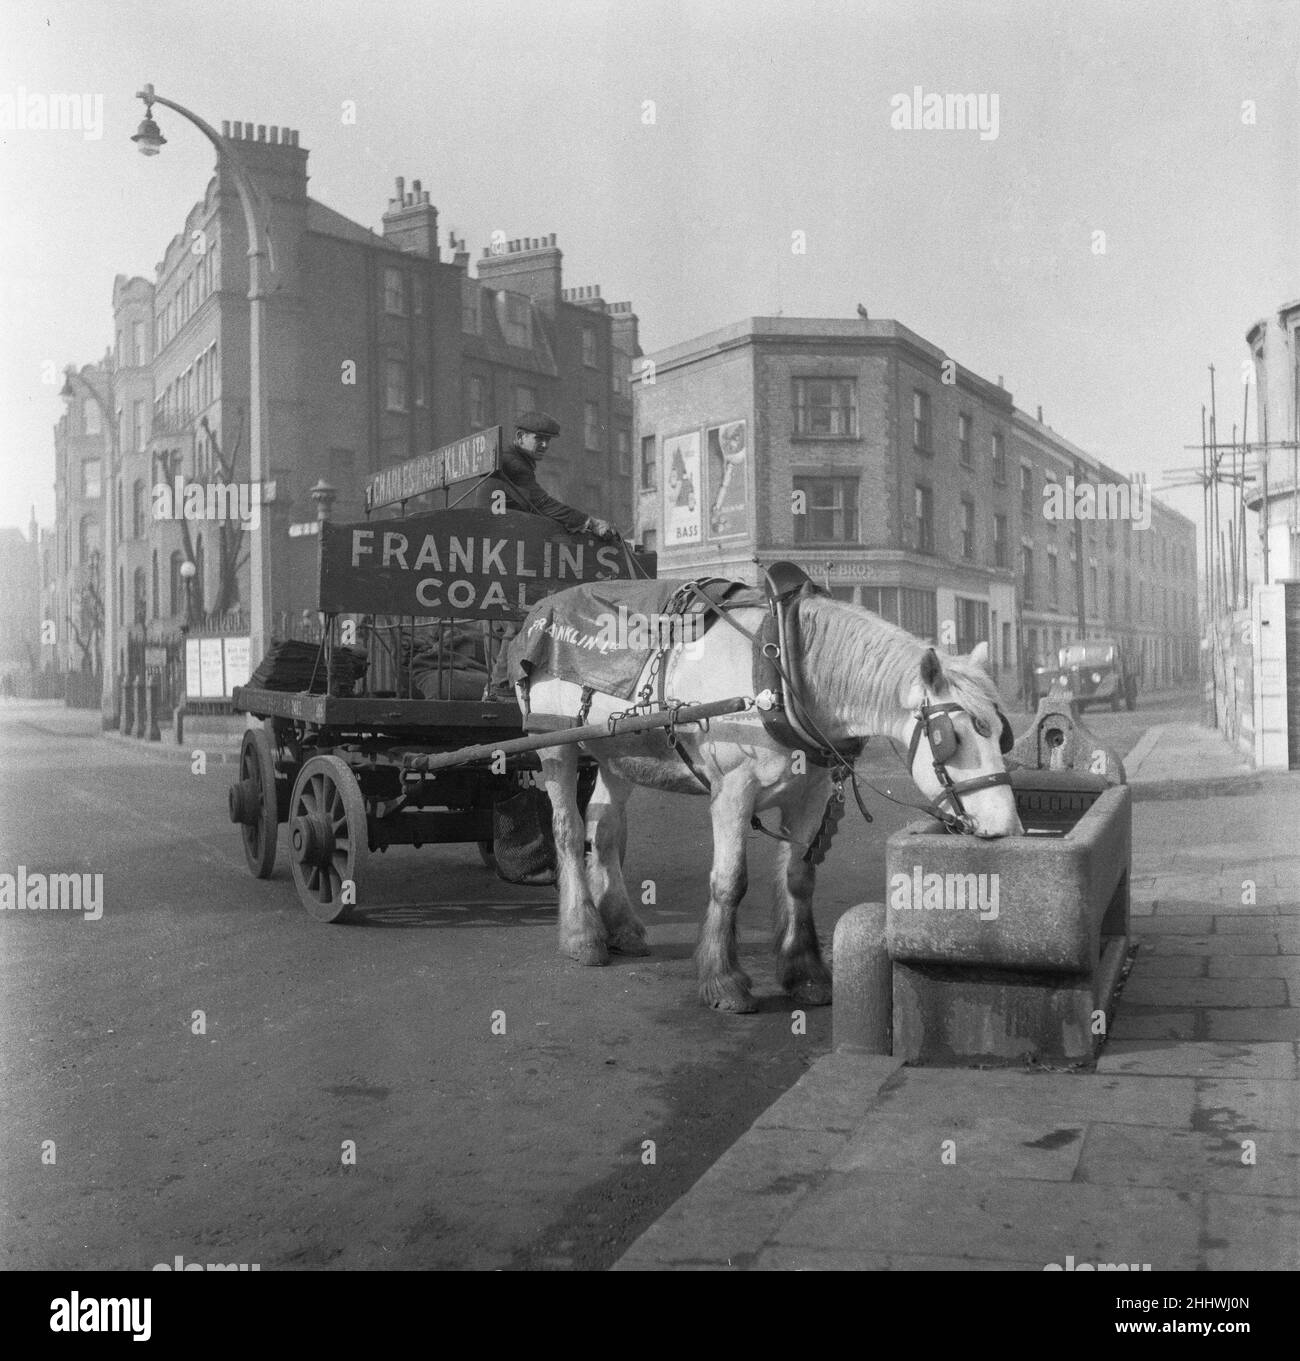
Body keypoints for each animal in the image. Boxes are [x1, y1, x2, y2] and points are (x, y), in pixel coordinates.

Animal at [514, 585, 1023, 1012]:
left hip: (619, 750)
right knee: (568, 830)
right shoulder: (732, 791)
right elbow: (730, 882)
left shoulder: (813, 793)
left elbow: (800, 879)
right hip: (555, 744)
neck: (785, 678)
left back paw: (622, 926)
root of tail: (540, 611)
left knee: (603, 829)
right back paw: (583, 936)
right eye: (951, 737)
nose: (1007, 828)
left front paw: (806, 974)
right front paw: (724, 981)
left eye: (1002, 732)